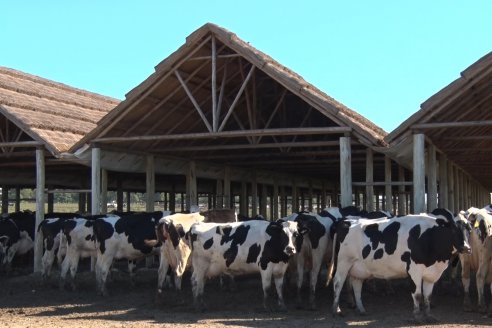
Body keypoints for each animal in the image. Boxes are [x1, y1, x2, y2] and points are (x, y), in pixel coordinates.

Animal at [328, 209, 470, 322]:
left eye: (469, 229)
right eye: (453, 229)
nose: (466, 248)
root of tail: (347, 220)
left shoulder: (431, 273)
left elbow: (428, 296)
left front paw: (429, 315)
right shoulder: (414, 270)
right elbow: (417, 294)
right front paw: (417, 316)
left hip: (358, 267)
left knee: (357, 285)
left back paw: (361, 309)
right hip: (343, 263)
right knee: (337, 283)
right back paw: (336, 310)